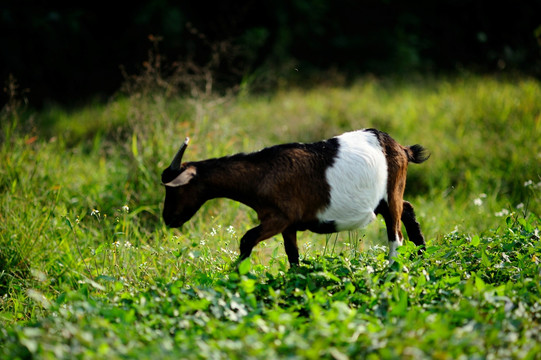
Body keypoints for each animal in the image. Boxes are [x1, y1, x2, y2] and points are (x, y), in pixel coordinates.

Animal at [160, 129, 426, 268]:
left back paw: (392, 273)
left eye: (173, 190)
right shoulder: (288, 225)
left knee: (395, 235)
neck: (262, 174)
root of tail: (402, 149)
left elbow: (246, 239)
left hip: (392, 192)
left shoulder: (279, 218)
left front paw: (235, 276)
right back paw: (422, 256)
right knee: (408, 209)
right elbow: (293, 256)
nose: (168, 219)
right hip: (386, 198)